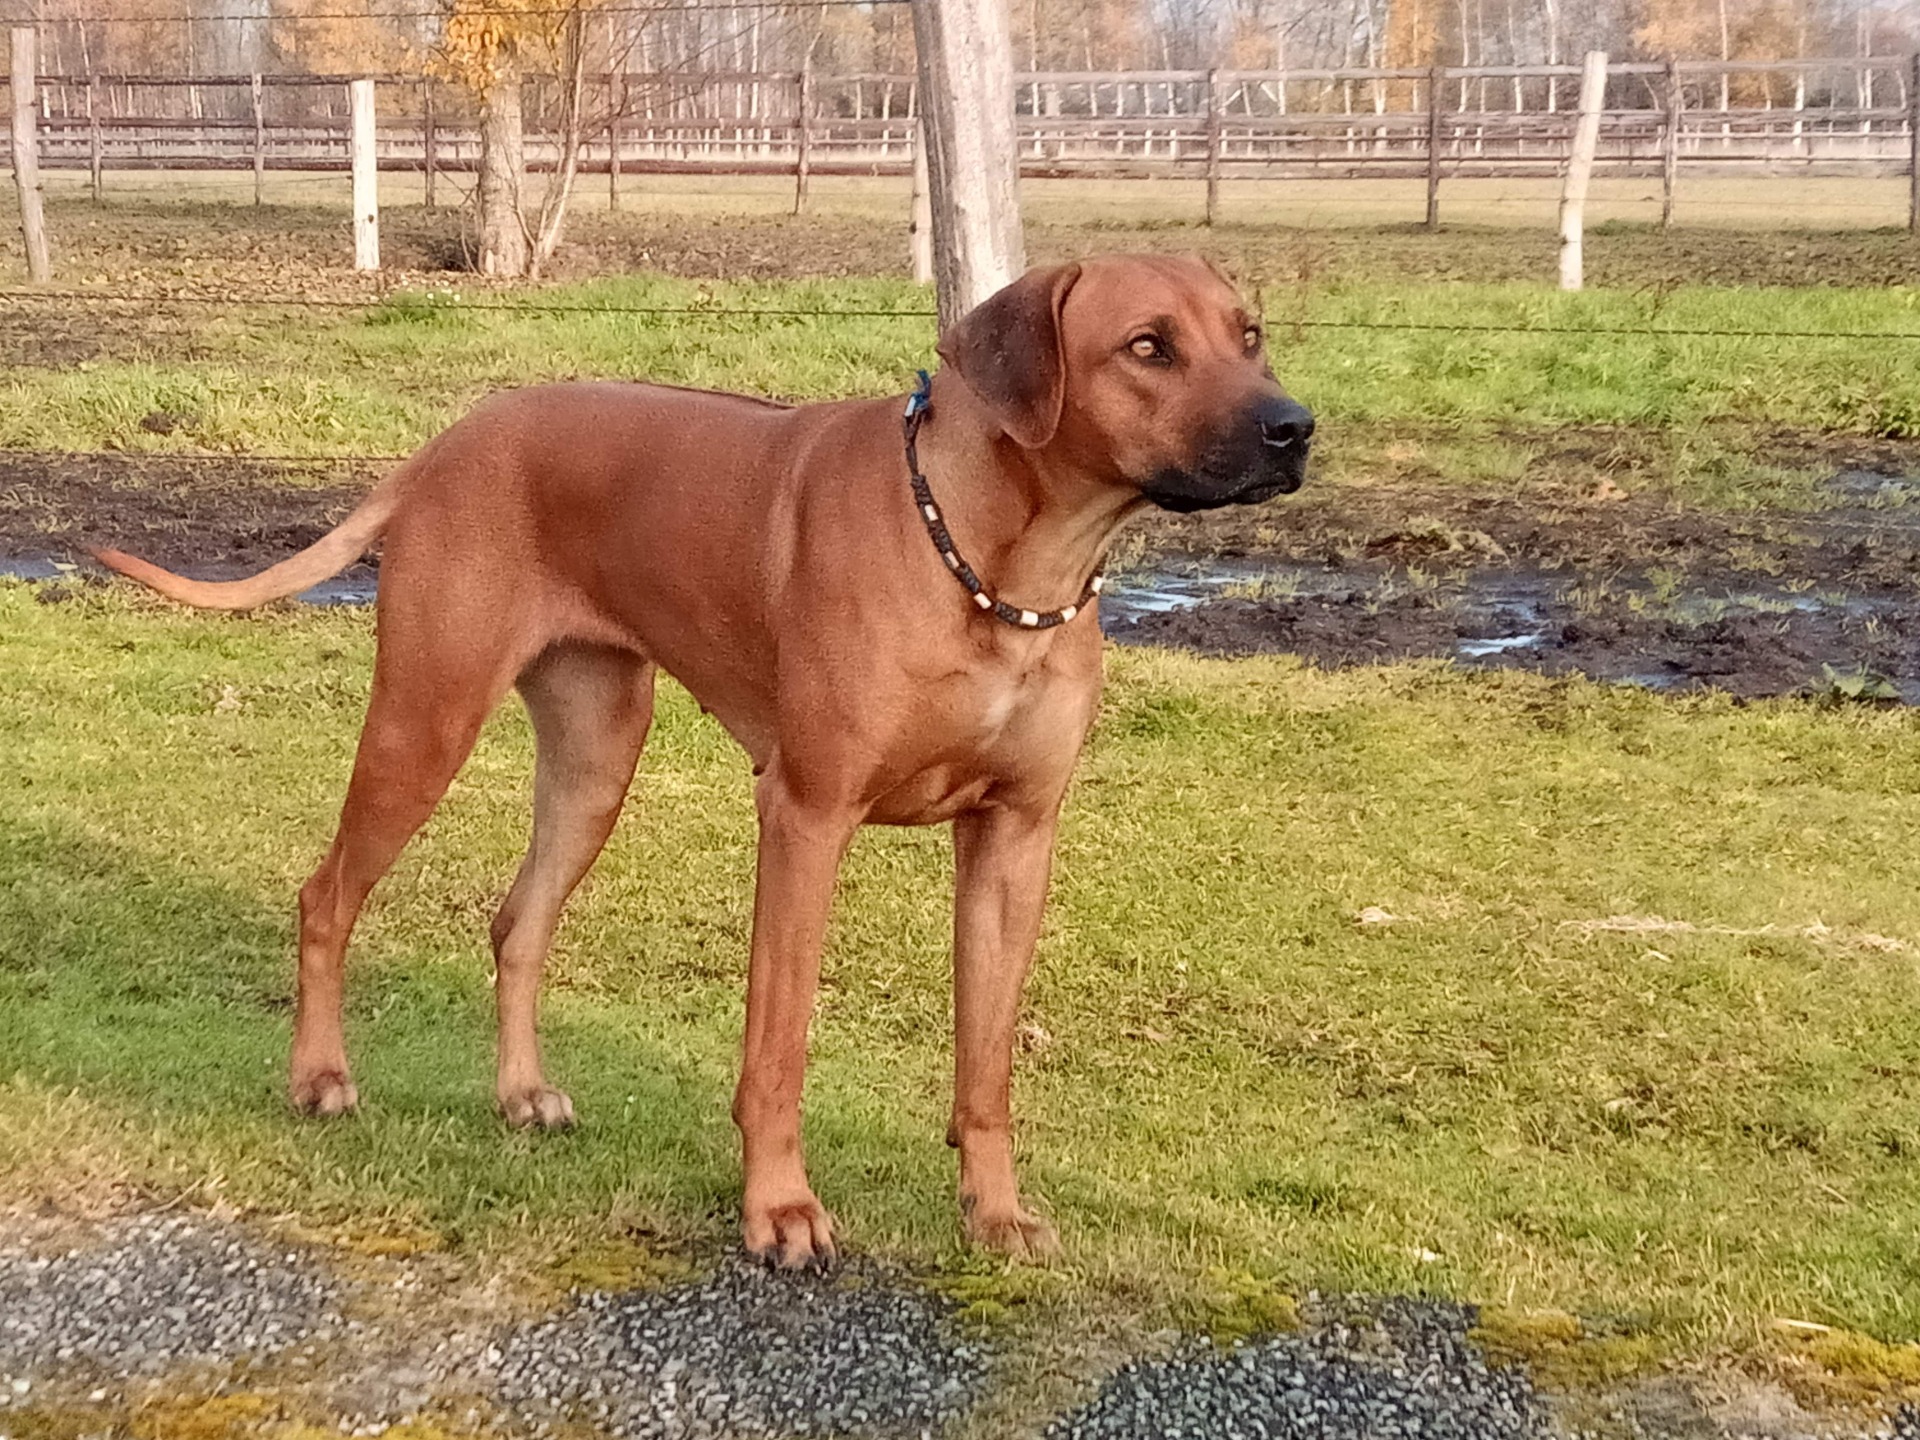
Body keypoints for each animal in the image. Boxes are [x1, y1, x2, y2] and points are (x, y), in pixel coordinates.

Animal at [94, 254, 1313, 1267]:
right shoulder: (806, 816)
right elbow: (778, 1049)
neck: (1005, 568)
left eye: (1249, 334)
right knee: (327, 894)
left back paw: (522, 1092)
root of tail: (450, 440)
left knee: (516, 921)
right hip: (425, 719)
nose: (1295, 427)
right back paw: (319, 1076)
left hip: (597, 757)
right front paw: (779, 1211)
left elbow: (989, 1061)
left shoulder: (1017, 837)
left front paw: (996, 1212)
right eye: (1148, 346)